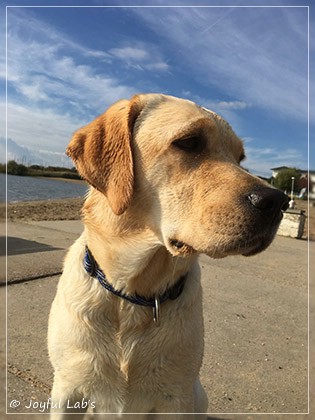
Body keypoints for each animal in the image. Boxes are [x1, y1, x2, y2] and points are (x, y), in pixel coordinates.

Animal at [48, 93, 290, 418]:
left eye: (239, 158)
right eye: (189, 142)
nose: (279, 201)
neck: (133, 294)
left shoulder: (177, 397)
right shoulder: (67, 390)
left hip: (198, 395)